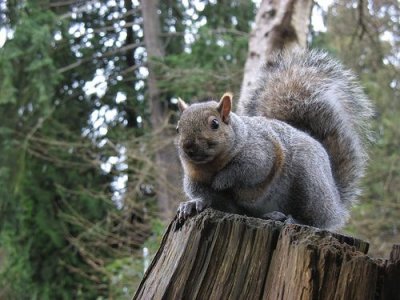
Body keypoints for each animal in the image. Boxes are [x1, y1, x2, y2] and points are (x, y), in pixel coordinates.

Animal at [175, 48, 372, 230]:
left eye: (214, 124)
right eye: (178, 128)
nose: (188, 146)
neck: (212, 165)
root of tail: (337, 202)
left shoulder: (260, 151)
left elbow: (247, 169)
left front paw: (222, 180)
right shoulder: (195, 180)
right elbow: (213, 200)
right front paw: (194, 203)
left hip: (311, 183)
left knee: (317, 220)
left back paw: (293, 219)